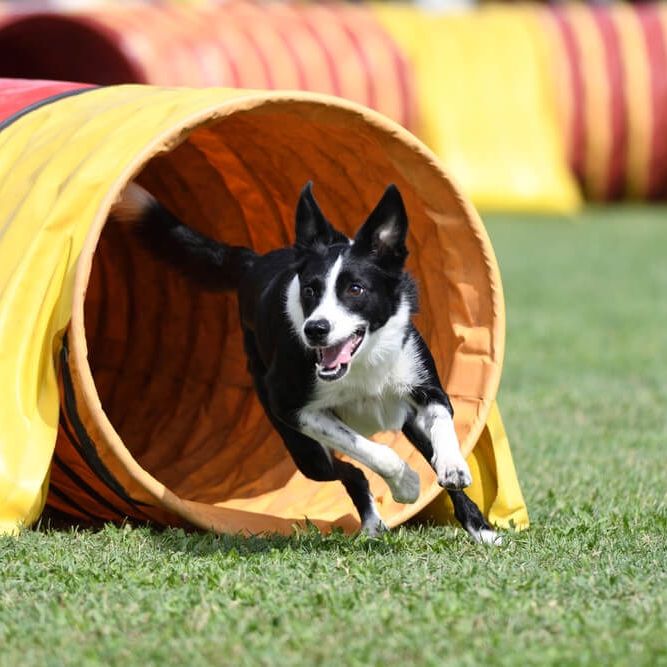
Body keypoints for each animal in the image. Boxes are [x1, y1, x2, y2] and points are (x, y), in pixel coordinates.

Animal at [112, 180, 500, 544]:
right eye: (310, 290)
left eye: (355, 289)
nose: (315, 329)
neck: (363, 363)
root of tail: (254, 262)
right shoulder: (293, 409)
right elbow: (374, 453)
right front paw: (406, 483)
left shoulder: (424, 387)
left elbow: (443, 428)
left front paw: (455, 471)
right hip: (303, 450)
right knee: (351, 473)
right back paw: (373, 522)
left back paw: (476, 528)